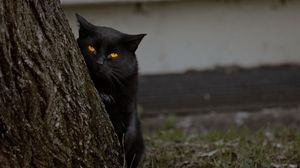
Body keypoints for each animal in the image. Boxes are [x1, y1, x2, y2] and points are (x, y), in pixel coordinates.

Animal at [77, 14, 146, 168]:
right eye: (91, 48)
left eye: (113, 55)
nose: (99, 62)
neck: (105, 88)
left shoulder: (128, 111)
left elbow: (125, 137)